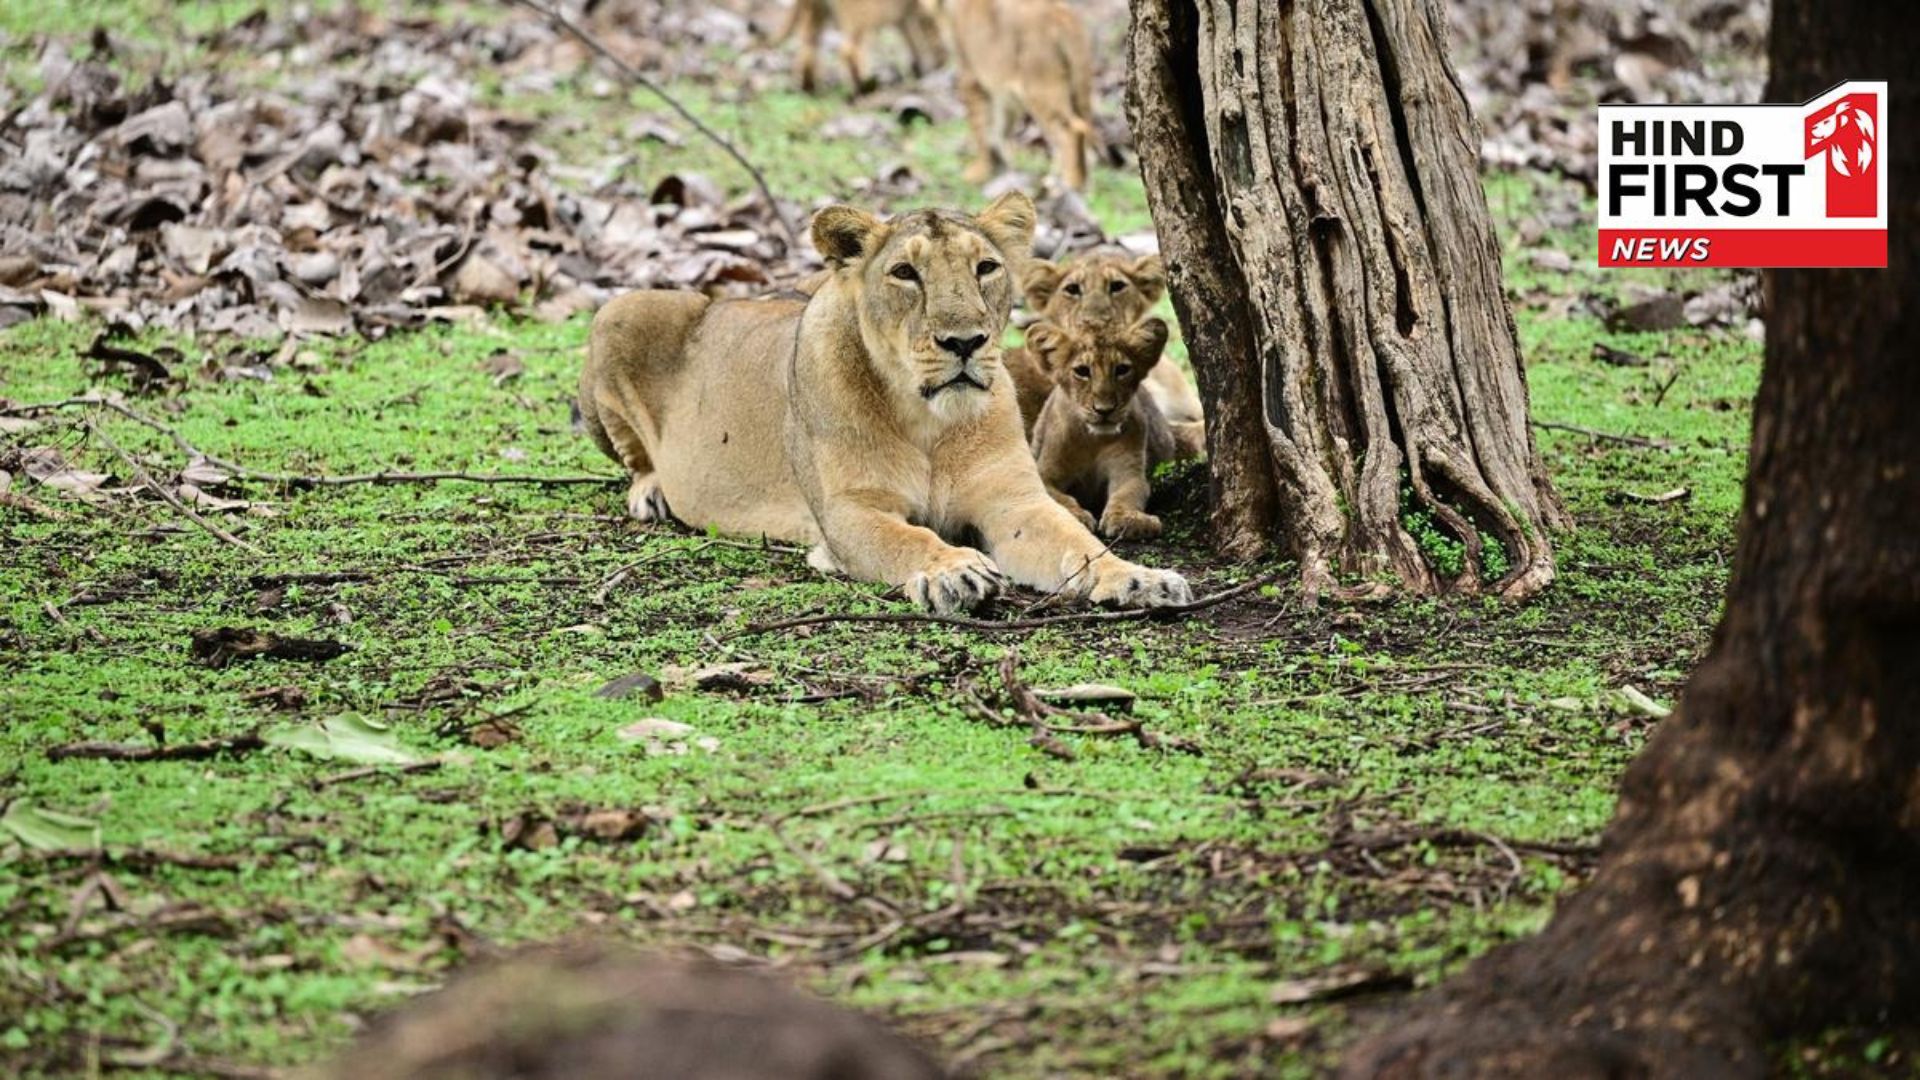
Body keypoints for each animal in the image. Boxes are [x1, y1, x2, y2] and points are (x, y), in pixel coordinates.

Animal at [777, 0, 944, 95]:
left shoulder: (903, 18)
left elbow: (913, 38)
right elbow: (924, 35)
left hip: (815, 11)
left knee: (808, 46)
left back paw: (808, 86)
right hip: (859, 15)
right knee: (849, 50)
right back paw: (863, 86)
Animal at [932, 0, 1096, 190]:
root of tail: (1061, 15)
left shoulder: (969, 75)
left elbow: (979, 127)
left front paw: (980, 171)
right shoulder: (1004, 90)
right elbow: (1001, 127)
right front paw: (1005, 166)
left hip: (1039, 90)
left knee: (1071, 131)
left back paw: (1070, 184)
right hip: (1078, 87)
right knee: (1084, 130)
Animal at [1024, 315, 1200, 540]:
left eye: (1122, 370)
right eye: (1082, 371)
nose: (1104, 410)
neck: (1093, 440)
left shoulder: (1129, 471)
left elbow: (1127, 495)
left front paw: (1129, 520)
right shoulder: (1044, 474)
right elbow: (1059, 498)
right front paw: (1076, 516)